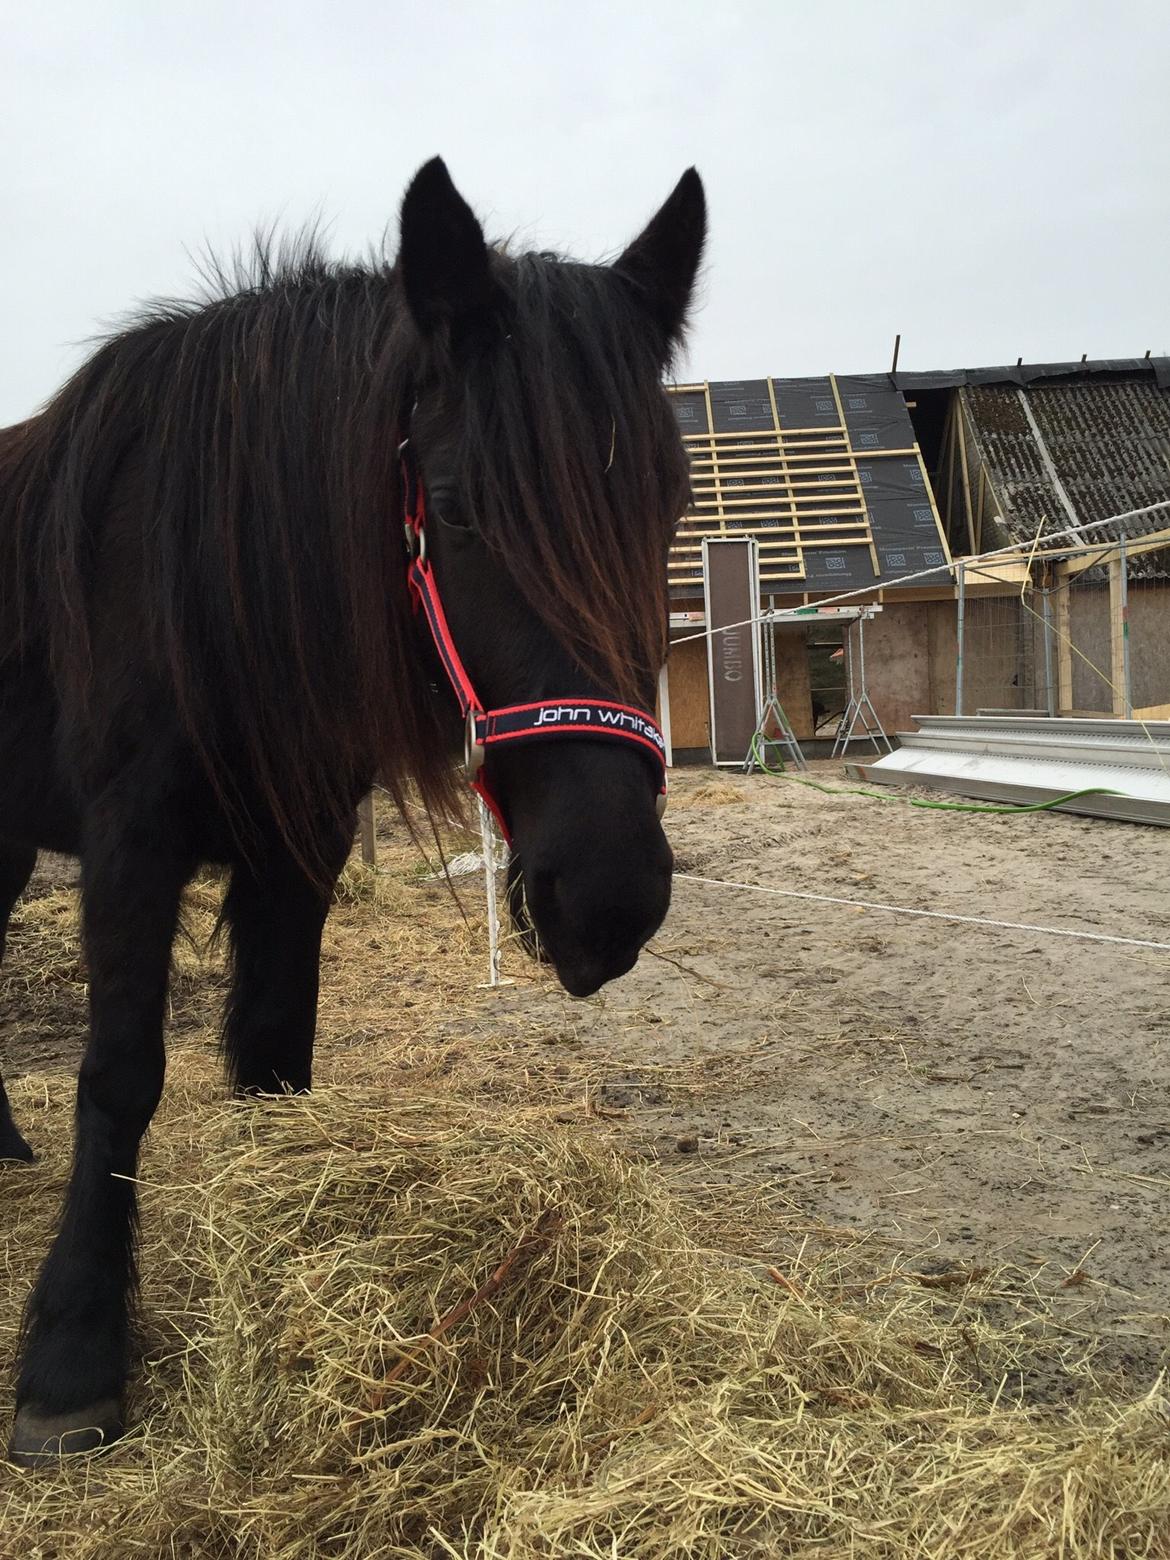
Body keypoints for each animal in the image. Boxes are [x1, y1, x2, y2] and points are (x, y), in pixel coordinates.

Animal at [0, 157, 706, 1463]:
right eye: (464, 511)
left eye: (667, 513)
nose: (610, 899)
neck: (203, 567)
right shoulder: (129, 843)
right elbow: (119, 1075)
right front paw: (72, 1354)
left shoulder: (299, 849)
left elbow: (277, 1056)